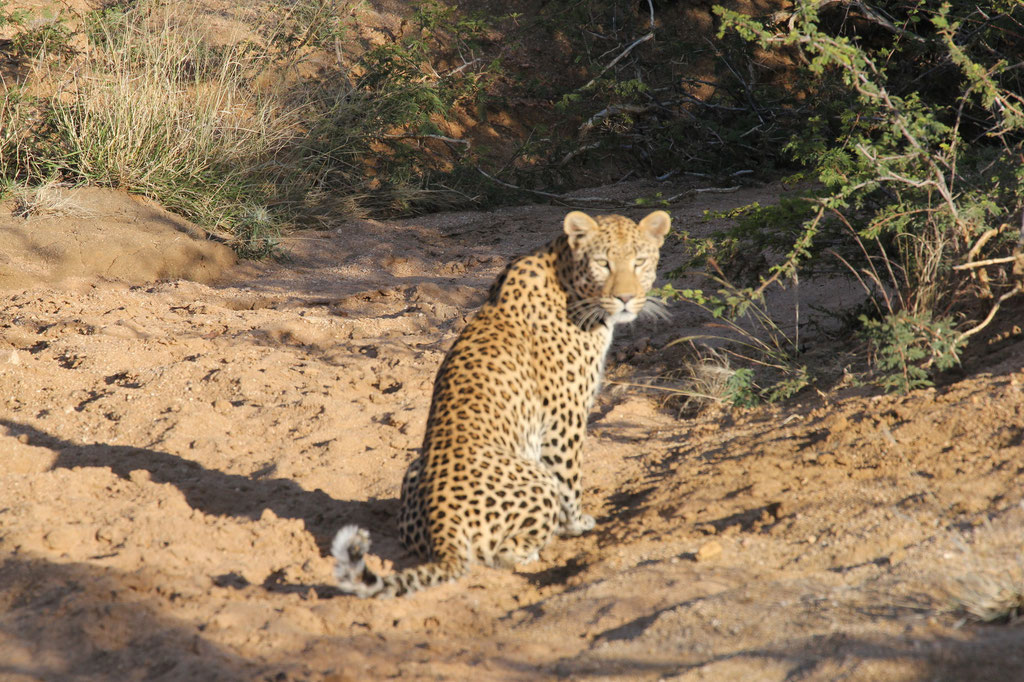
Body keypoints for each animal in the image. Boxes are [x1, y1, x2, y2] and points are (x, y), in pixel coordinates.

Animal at [332, 209, 671, 598]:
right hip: (537, 478)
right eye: (603, 264)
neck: (567, 275)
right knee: (502, 553)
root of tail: (443, 525)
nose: (627, 298)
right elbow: (570, 476)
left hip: (413, 472)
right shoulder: (563, 415)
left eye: (639, 262)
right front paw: (576, 523)